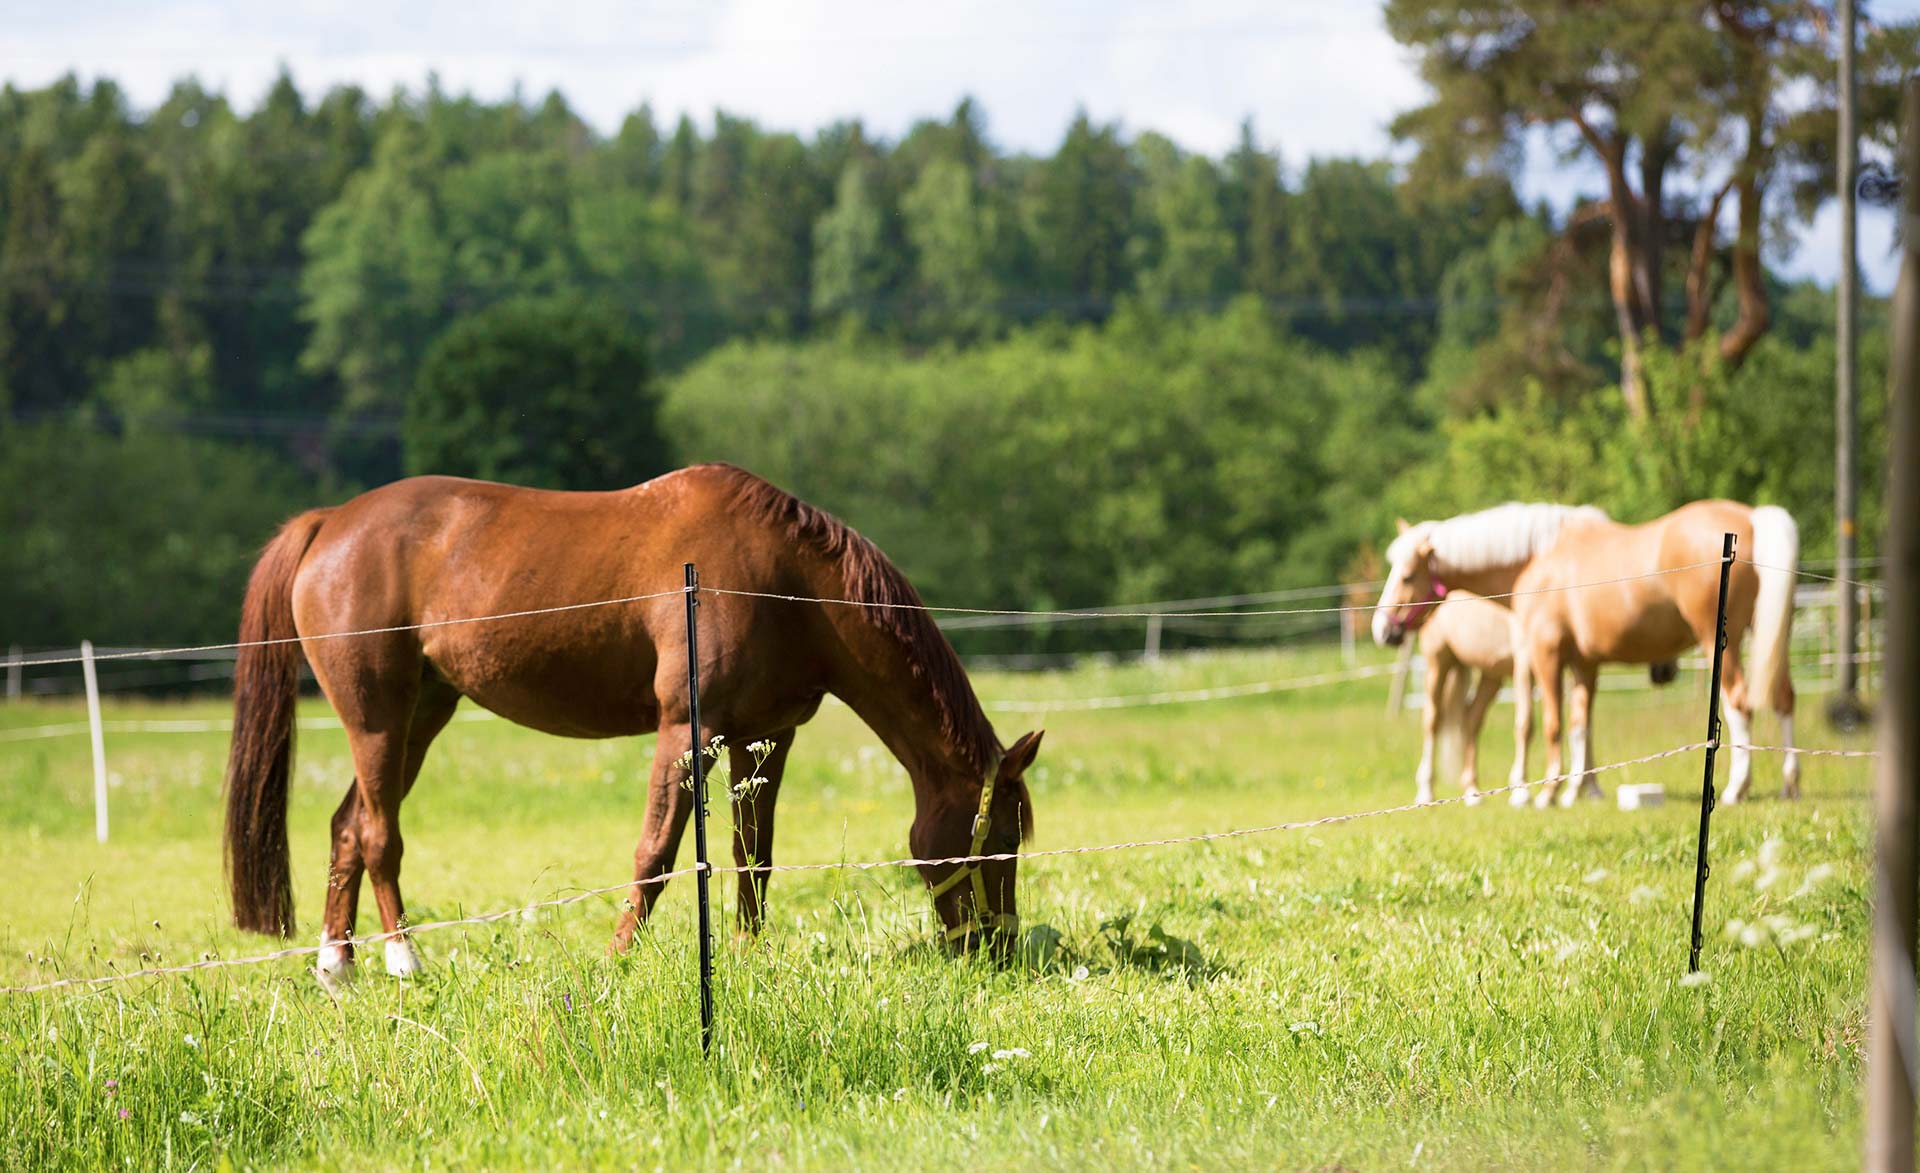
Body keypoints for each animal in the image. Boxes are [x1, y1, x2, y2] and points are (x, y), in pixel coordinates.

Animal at [220, 462, 1052, 982]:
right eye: (995, 839)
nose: (999, 950)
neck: (785, 582)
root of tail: (329, 522)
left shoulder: (765, 738)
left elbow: (753, 857)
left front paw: (748, 953)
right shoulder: (686, 732)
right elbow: (655, 852)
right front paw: (618, 960)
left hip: (423, 713)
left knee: (346, 827)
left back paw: (339, 967)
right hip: (379, 719)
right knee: (378, 835)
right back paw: (404, 961)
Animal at [1367, 499, 1797, 813]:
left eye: (1406, 576)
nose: (1382, 629)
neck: (1538, 557)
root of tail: (1751, 517)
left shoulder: (1544, 653)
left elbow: (1550, 725)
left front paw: (1545, 793)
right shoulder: (1583, 663)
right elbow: (1579, 726)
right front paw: (1578, 790)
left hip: (1718, 641)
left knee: (1739, 701)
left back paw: (1736, 788)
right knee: (1783, 698)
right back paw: (1790, 782)